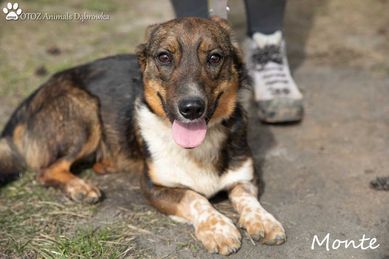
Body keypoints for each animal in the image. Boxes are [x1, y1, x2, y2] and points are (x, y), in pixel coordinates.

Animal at [0, 16, 284, 256]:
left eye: (215, 58)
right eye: (164, 57)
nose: (191, 108)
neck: (197, 149)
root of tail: (27, 103)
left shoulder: (245, 176)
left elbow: (246, 198)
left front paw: (263, 221)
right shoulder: (153, 187)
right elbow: (195, 198)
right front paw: (219, 230)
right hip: (85, 112)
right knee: (46, 170)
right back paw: (80, 187)